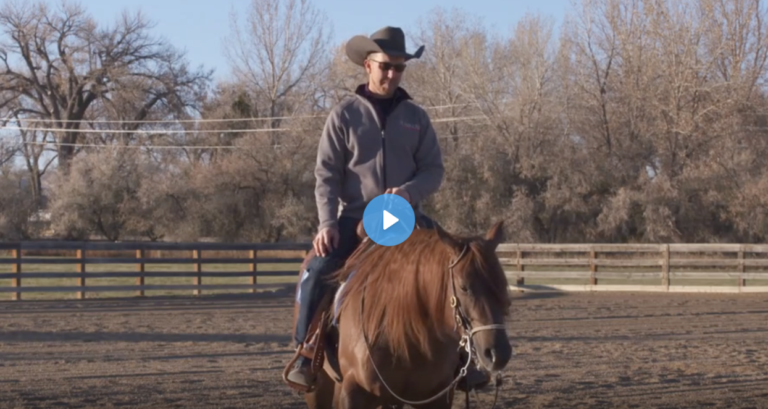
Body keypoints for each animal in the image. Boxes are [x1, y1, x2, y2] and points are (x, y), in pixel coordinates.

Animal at [287, 220, 513, 408]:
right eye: (464, 287)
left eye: (501, 285)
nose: (498, 354)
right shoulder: (353, 394)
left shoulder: (437, 397)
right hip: (319, 389)